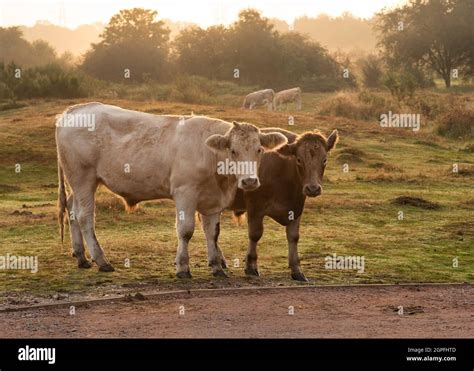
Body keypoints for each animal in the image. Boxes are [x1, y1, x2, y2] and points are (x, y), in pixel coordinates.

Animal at [55, 103, 286, 278]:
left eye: (259, 150)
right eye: (233, 150)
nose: (249, 181)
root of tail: (74, 110)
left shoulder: (213, 200)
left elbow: (213, 233)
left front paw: (216, 267)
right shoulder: (185, 192)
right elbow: (186, 230)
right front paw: (183, 267)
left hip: (80, 182)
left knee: (72, 210)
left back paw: (82, 257)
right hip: (83, 178)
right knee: (85, 217)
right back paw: (102, 261)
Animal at [228, 128, 338, 282]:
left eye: (325, 160)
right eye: (299, 159)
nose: (313, 188)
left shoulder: (296, 207)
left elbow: (293, 236)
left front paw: (297, 270)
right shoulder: (255, 206)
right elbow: (255, 234)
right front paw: (251, 266)